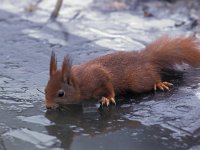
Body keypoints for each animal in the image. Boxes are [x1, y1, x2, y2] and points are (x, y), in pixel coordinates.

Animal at [44, 36, 200, 109]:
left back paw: (159, 83)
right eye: (45, 90)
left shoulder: (97, 76)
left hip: (139, 81)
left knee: (151, 78)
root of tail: (145, 57)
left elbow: (108, 84)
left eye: (61, 94)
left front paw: (108, 98)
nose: (48, 106)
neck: (78, 82)